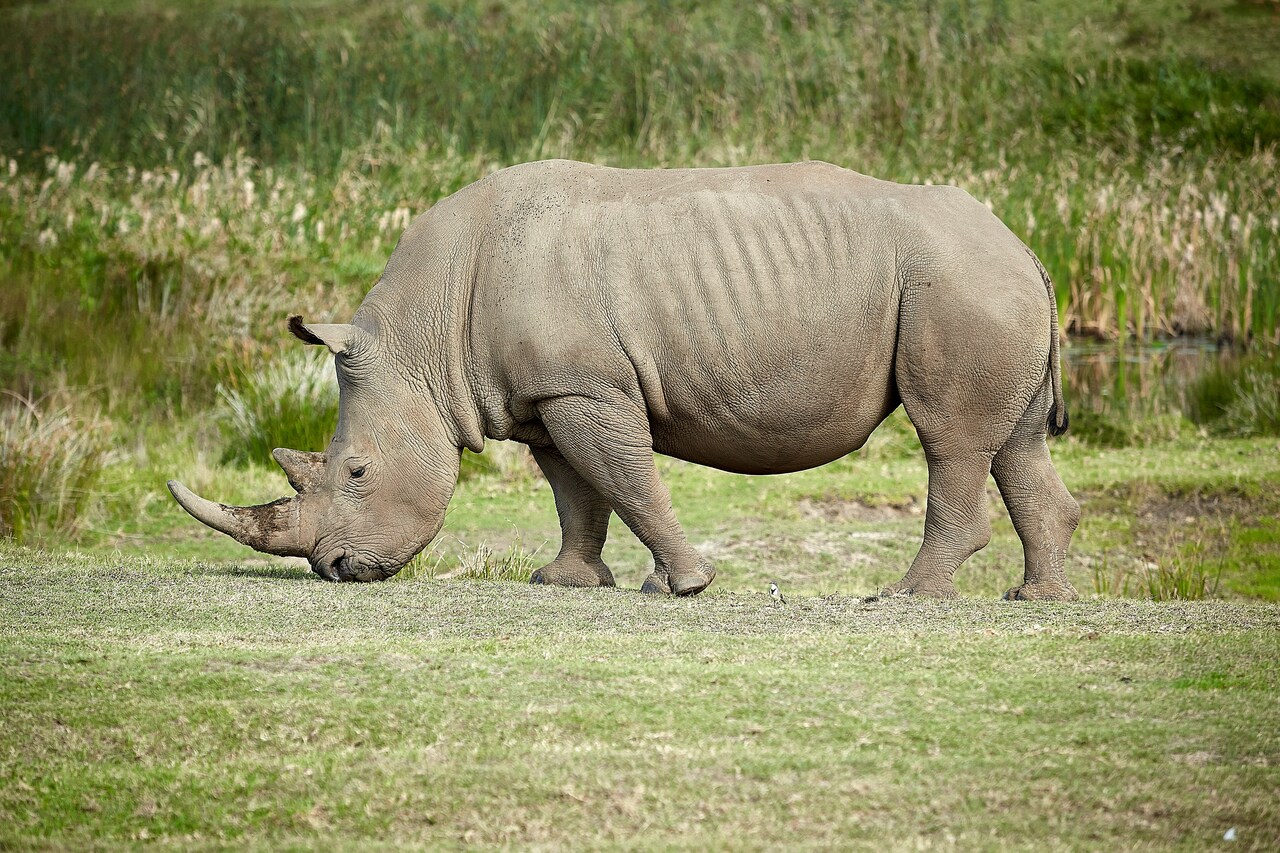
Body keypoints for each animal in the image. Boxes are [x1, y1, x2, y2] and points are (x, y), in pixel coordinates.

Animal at [169, 159, 1080, 600]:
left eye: (357, 472)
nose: (335, 570)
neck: (420, 342)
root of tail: (1024, 243)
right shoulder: (546, 394)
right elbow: (577, 492)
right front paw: (567, 582)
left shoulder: (584, 386)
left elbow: (628, 480)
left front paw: (686, 585)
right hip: (984, 280)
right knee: (1015, 443)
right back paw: (1036, 599)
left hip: (956, 281)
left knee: (949, 438)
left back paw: (907, 596)